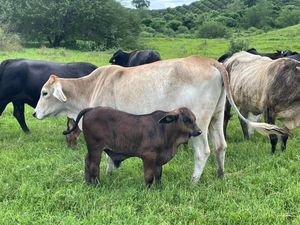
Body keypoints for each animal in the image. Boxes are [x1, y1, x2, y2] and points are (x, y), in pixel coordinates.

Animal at [63, 106, 202, 187]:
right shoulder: (149, 156)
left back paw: (88, 183)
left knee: (87, 161)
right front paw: (148, 190)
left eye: (195, 119)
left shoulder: (159, 159)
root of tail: (92, 109)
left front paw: (159, 188)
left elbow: (158, 175)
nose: (199, 131)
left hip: (91, 149)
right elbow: (149, 176)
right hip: (96, 148)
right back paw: (97, 185)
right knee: (93, 166)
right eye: (186, 119)